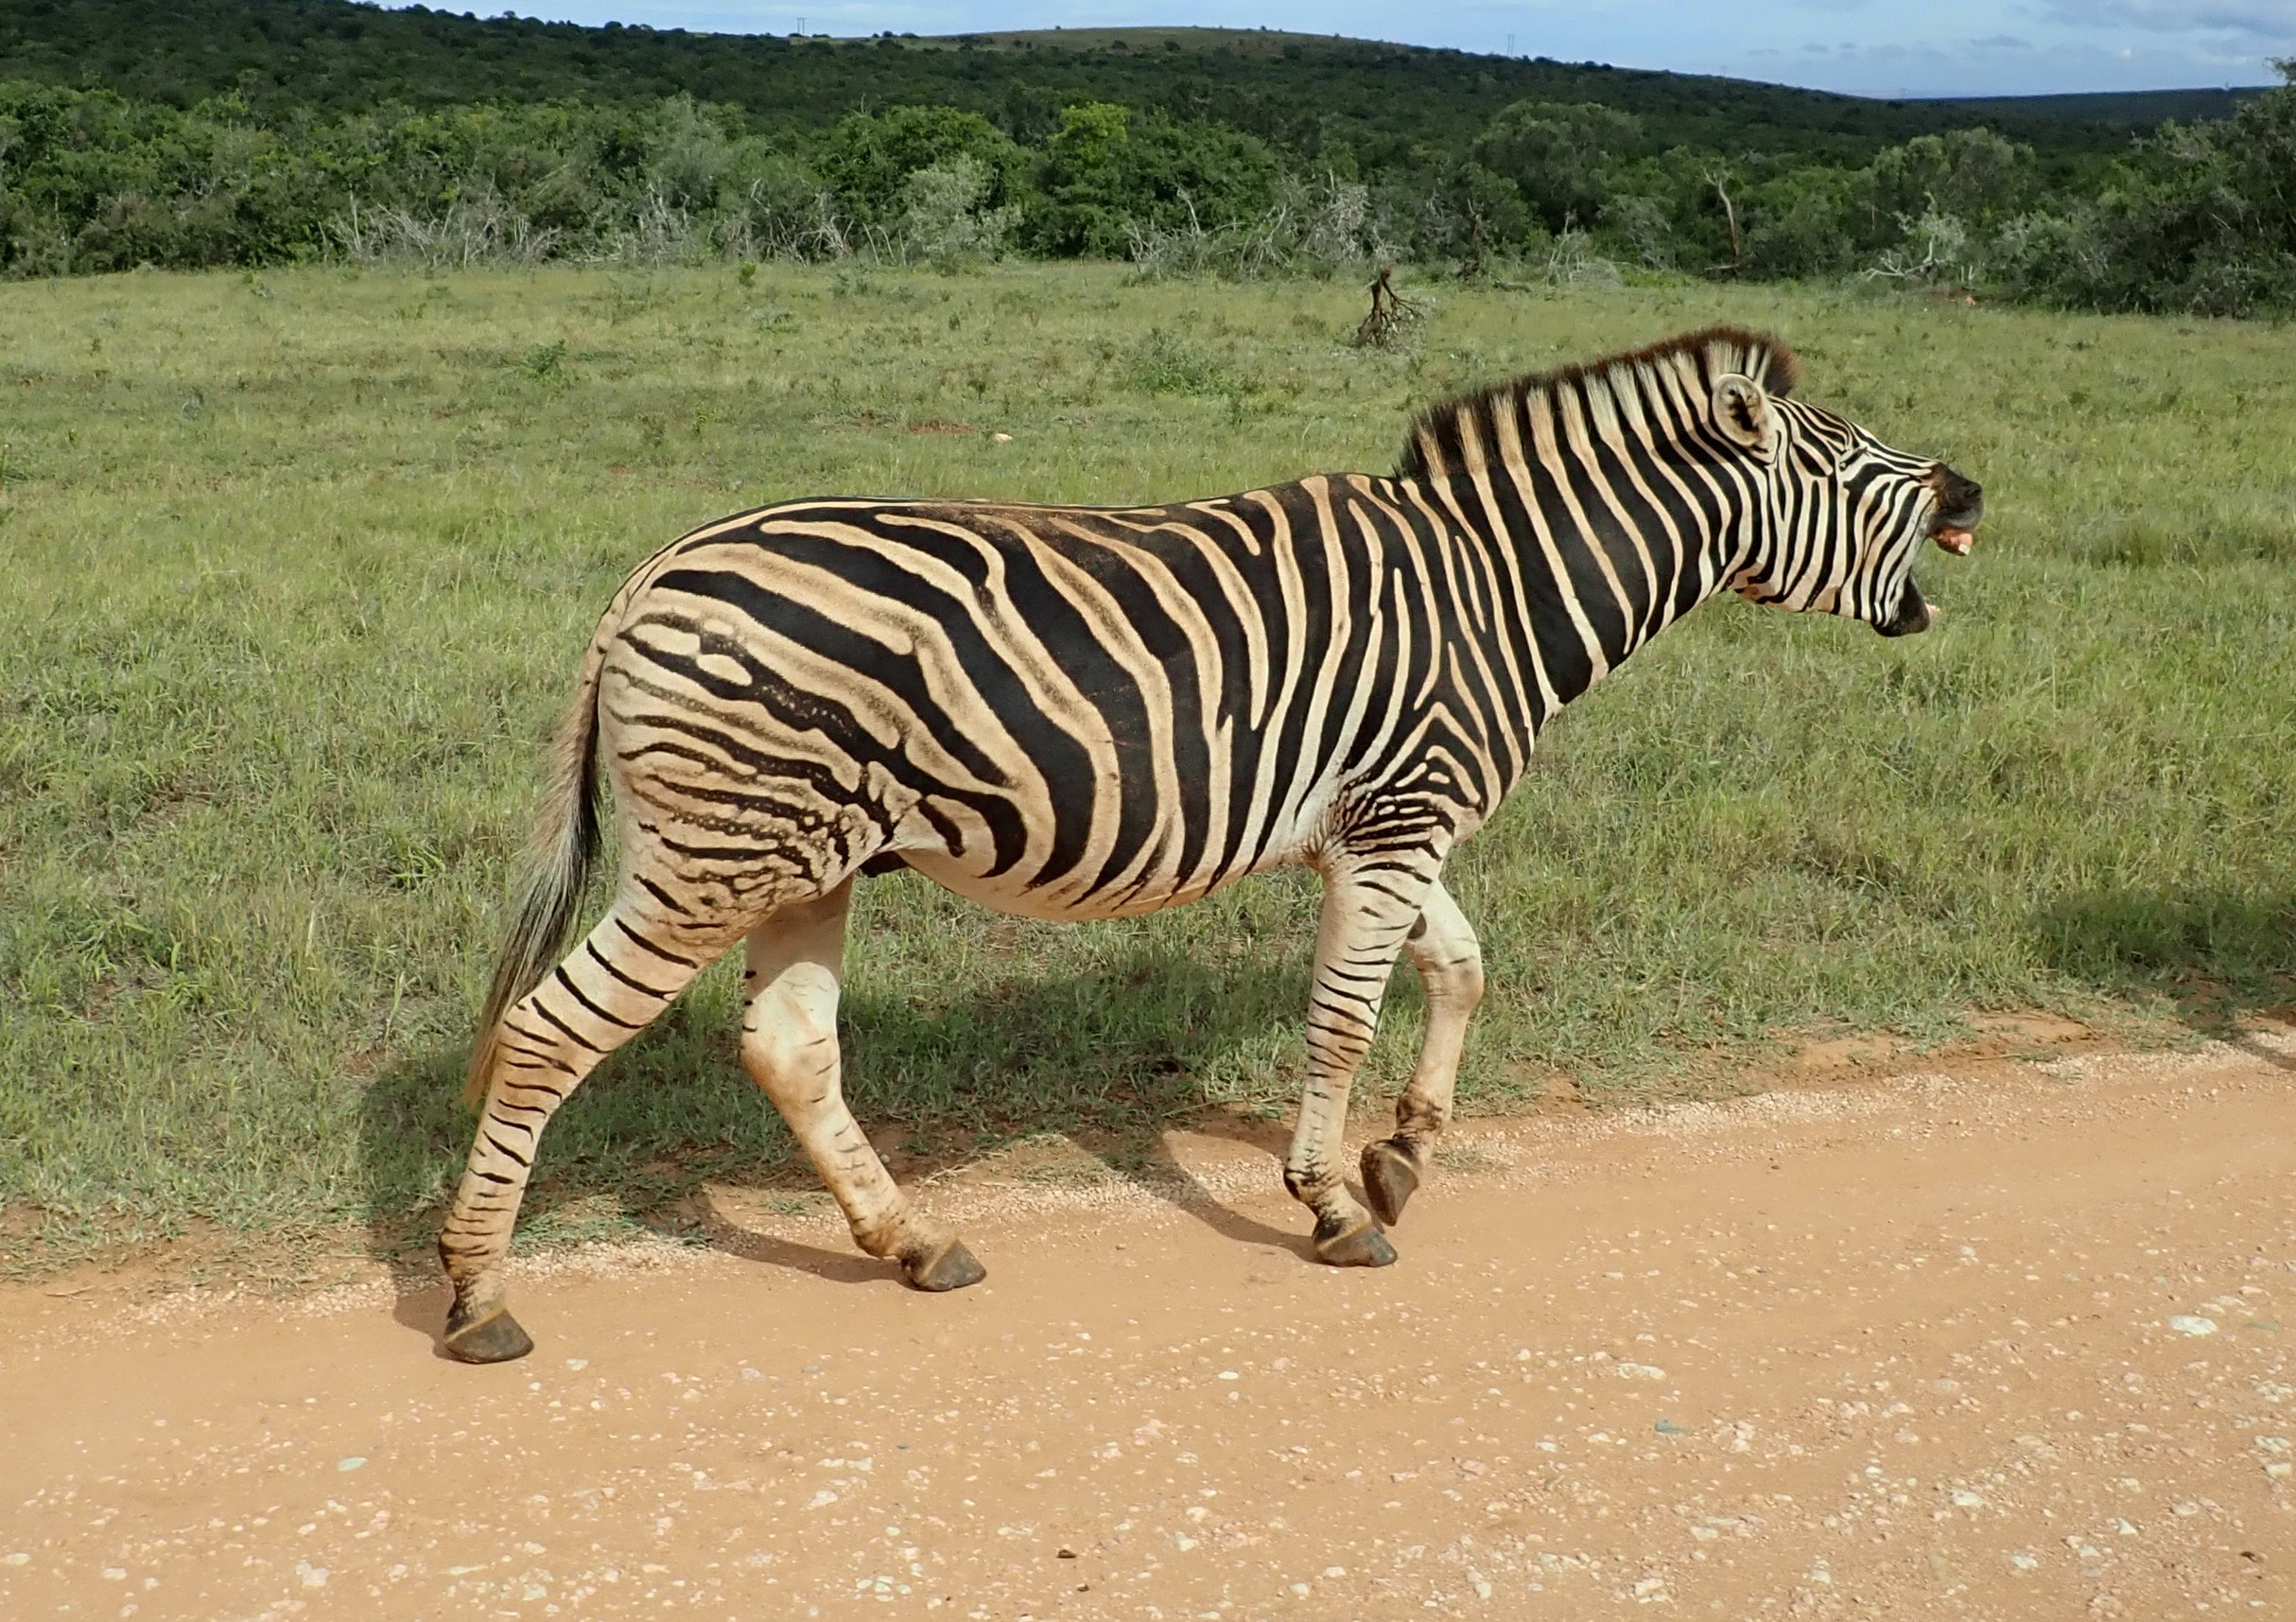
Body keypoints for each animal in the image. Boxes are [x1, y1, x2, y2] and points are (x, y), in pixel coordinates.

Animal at [438, 325, 1982, 1364]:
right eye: (1849, 456)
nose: (1970, 492)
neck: (1501, 590)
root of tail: (653, 569)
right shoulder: (1398, 816)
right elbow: (1342, 1020)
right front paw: (1335, 1200)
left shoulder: (1383, 823)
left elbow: (1463, 967)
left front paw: (1406, 1148)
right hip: (718, 855)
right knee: (545, 1028)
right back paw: (475, 1294)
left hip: (802, 861)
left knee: (788, 1045)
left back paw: (916, 1242)